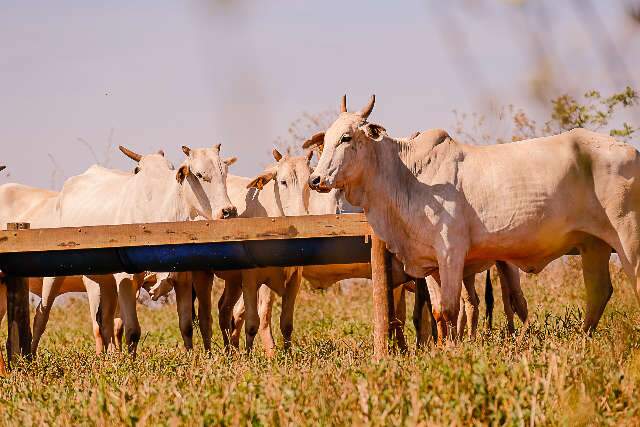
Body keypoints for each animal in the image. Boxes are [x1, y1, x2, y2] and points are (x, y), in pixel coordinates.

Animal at [310, 95, 640, 340]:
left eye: (346, 137)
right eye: (326, 139)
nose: (315, 179)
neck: (408, 176)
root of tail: (632, 151)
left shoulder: (451, 253)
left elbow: (451, 309)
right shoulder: (429, 262)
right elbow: (438, 314)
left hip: (627, 236)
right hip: (593, 244)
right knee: (598, 292)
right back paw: (582, 339)